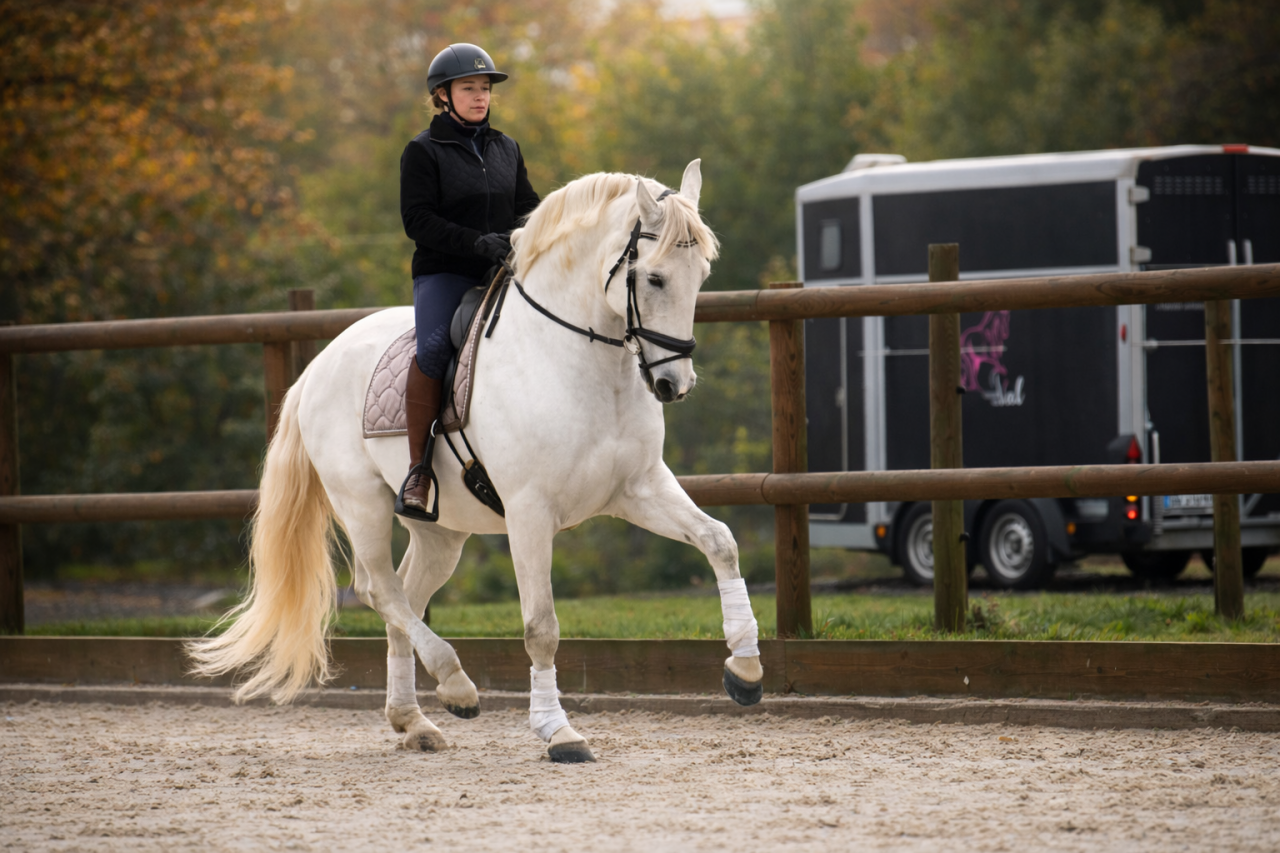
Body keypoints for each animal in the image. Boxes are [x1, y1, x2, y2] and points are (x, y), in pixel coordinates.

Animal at [187, 161, 765, 763]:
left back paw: (414, 721)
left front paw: (745, 670)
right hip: (362, 504)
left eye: (701, 274)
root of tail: (320, 363)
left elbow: (720, 541)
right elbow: (541, 626)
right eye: (653, 279)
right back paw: (457, 686)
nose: (675, 384)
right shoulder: (530, 512)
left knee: (406, 595)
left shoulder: (639, 489)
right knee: (380, 590)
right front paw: (559, 733)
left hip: (442, 533)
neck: (579, 362)